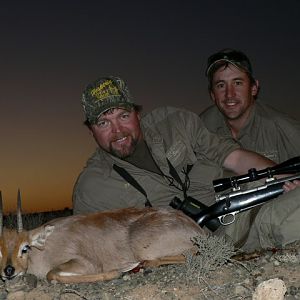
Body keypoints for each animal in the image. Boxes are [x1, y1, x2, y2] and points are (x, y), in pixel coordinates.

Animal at [0, 190, 206, 284]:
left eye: (25, 247)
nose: (9, 271)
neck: (43, 250)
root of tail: (197, 229)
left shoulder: (86, 263)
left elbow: (52, 274)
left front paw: (117, 272)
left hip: (144, 249)